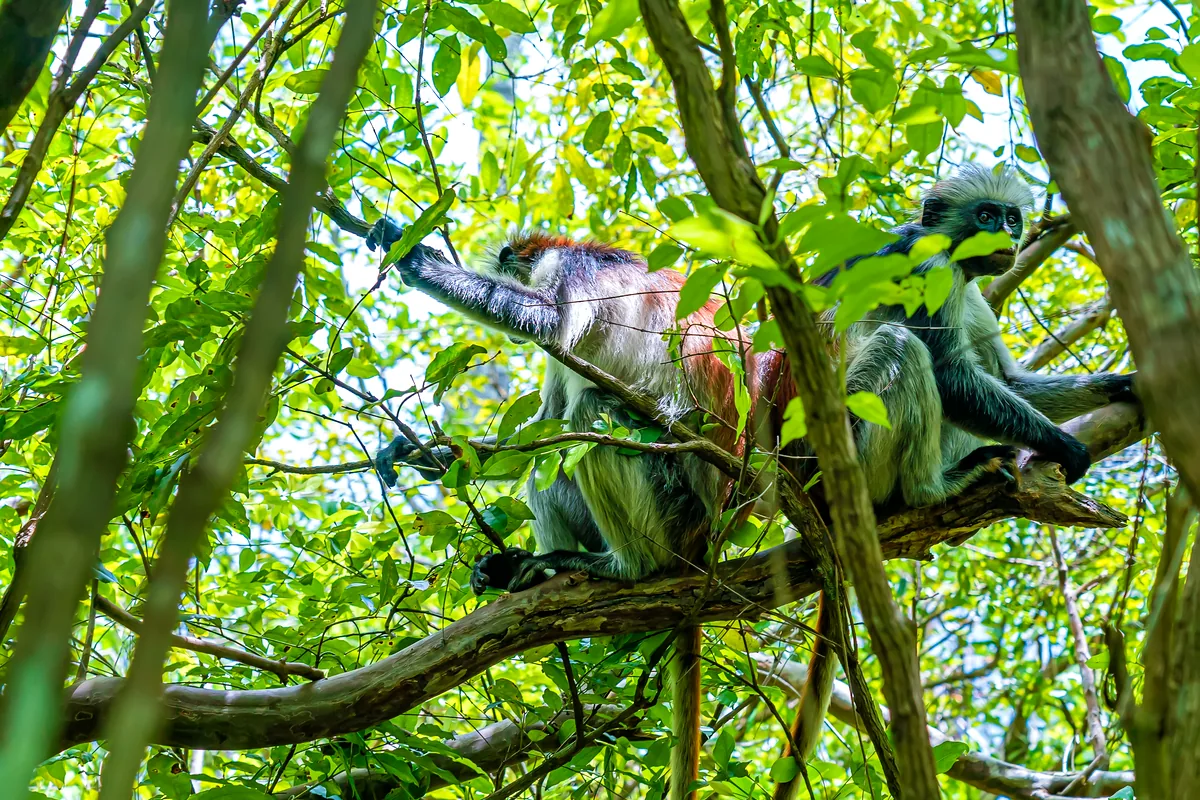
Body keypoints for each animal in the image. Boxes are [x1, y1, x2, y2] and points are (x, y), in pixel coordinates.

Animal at [366, 220, 779, 800]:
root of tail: (715, 532)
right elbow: (544, 427)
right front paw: (432, 456)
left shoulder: (569, 268)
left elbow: (548, 322)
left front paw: (417, 260)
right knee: (556, 447)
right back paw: (530, 571)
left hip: (674, 509)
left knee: (591, 413)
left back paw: (624, 567)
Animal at [770, 164, 1137, 800]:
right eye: (985, 216)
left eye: (1010, 219)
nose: (1004, 235)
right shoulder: (928, 265)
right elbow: (949, 374)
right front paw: (1064, 445)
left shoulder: (969, 288)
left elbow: (1007, 379)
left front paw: (1121, 385)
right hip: (851, 456)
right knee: (903, 345)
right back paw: (931, 491)